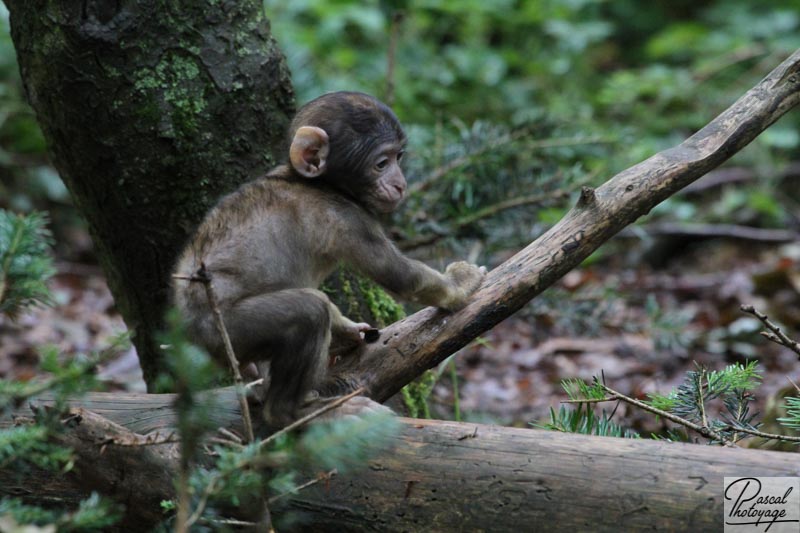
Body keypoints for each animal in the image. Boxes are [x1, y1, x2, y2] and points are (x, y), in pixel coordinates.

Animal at [174, 91, 484, 424]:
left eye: (399, 157)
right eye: (382, 163)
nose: (400, 184)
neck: (315, 183)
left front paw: (346, 330)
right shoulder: (349, 218)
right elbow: (401, 276)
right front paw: (460, 283)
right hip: (222, 331)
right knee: (308, 312)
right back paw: (294, 412)